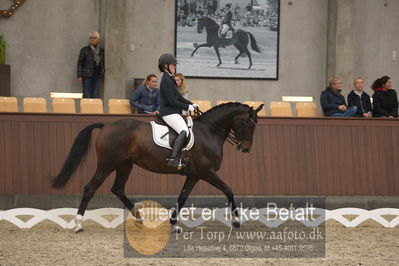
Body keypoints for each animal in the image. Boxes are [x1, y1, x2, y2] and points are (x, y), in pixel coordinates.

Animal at [53, 103, 266, 232]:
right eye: (249, 124)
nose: (246, 148)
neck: (210, 131)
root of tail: (106, 126)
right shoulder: (207, 172)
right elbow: (228, 190)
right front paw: (236, 221)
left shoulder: (194, 175)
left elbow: (183, 197)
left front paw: (174, 225)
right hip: (107, 163)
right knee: (90, 188)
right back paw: (79, 224)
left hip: (125, 164)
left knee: (118, 188)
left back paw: (140, 219)